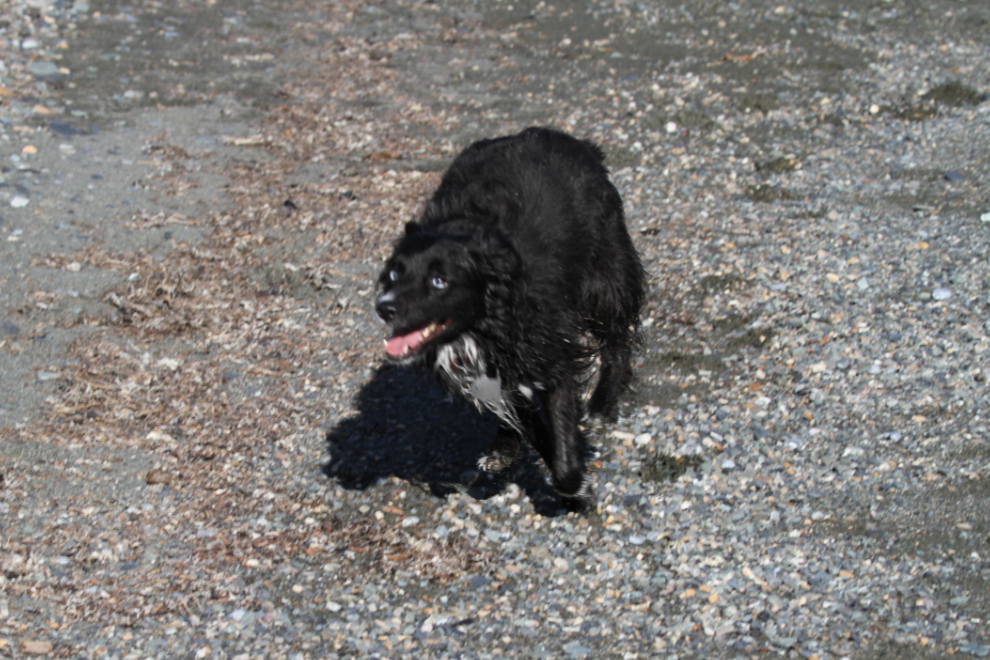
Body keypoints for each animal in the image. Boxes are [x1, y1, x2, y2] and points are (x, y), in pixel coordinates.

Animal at [376, 127, 648, 510]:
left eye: (439, 280)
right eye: (395, 273)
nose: (383, 306)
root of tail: (573, 140)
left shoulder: (549, 354)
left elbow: (559, 429)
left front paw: (576, 486)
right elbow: (535, 428)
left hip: (604, 277)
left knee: (617, 341)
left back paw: (602, 406)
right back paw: (503, 447)